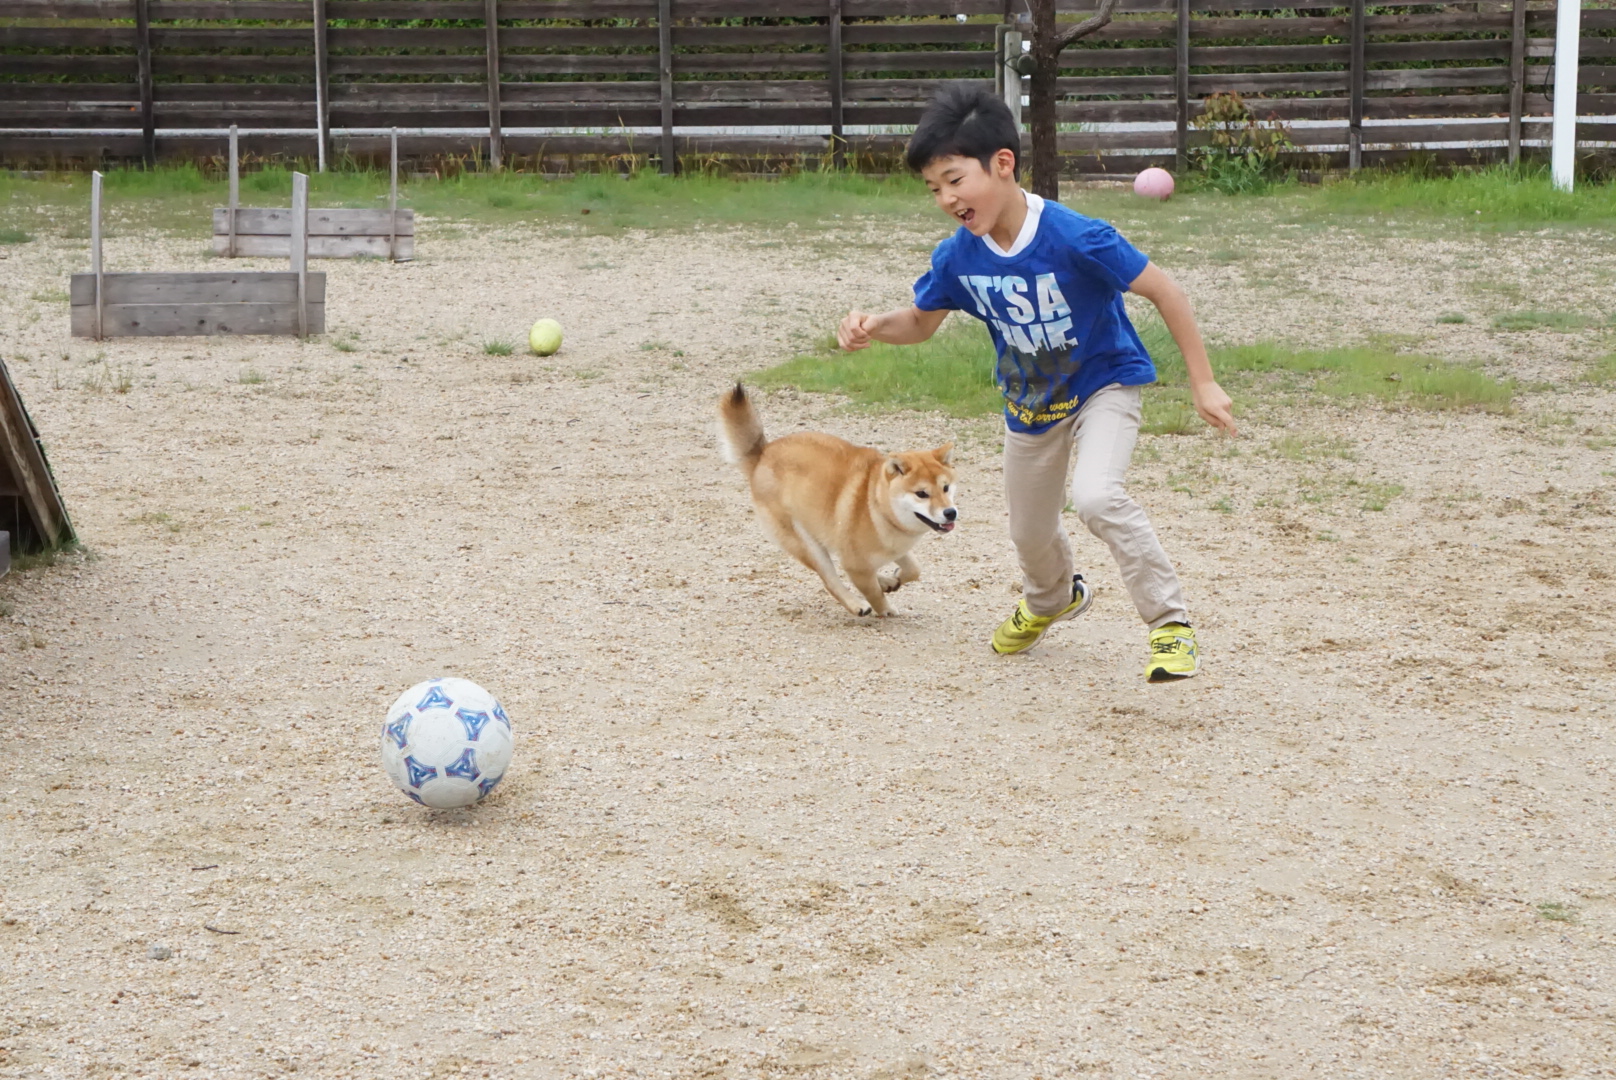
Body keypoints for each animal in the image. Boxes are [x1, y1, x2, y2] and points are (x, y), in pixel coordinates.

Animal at [714, 386, 950, 614]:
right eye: (922, 493)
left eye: (946, 488)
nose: (951, 513)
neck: (875, 505)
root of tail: (762, 454)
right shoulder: (856, 563)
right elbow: (872, 592)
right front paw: (886, 609)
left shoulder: (894, 549)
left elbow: (913, 570)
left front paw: (894, 578)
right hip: (806, 545)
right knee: (831, 581)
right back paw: (857, 605)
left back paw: (884, 581)